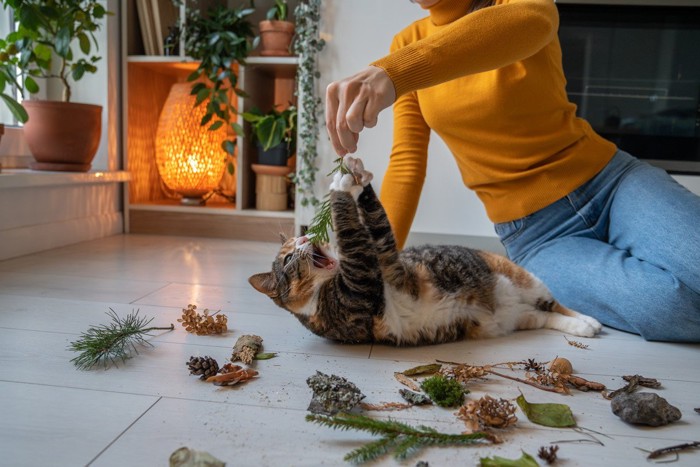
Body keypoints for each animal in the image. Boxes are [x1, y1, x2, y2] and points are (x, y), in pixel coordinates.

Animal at [247, 155, 600, 346]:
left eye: (298, 243)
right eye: (288, 258)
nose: (306, 237)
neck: (320, 294)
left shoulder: (384, 259)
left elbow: (377, 220)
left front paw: (356, 174)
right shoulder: (359, 279)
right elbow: (357, 232)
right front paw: (340, 183)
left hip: (521, 278)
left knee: (555, 303)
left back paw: (587, 321)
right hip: (518, 312)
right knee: (545, 313)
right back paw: (584, 326)